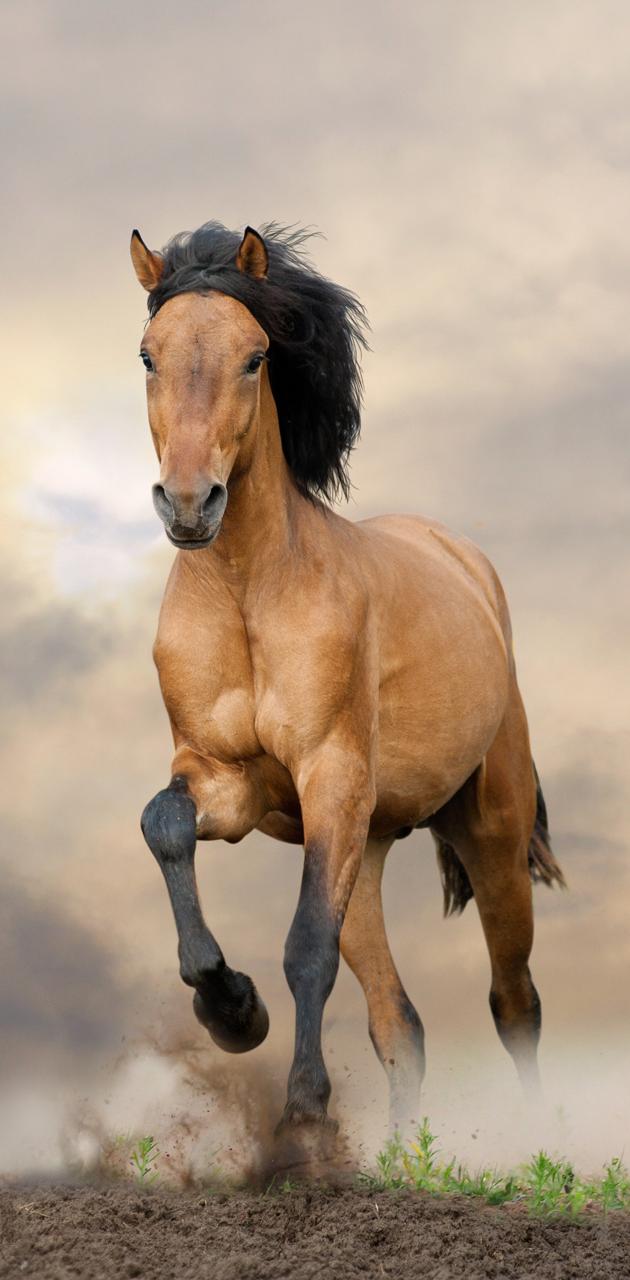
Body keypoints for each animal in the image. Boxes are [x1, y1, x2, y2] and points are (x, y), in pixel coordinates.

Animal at [130, 221, 564, 1136]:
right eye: (148, 355)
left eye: (256, 356)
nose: (189, 505)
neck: (249, 594)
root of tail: (463, 560)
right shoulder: (228, 783)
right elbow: (165, 825)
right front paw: (231, 1009)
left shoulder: (329, 773)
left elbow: (305, 949)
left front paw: (304, 1111)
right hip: (364, 846)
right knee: (401, 1024)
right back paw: (401, 1157)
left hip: (490, 834)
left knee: (514, 1002)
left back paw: (540, 1140)